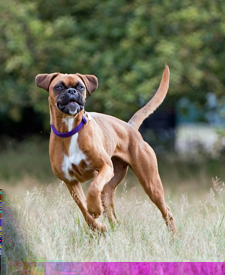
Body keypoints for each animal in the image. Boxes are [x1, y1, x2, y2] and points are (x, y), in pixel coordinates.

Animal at [35, 66, 178, 234]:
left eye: (80, 87)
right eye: (59, 86)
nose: (72, 91)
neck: (69, 130)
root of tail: (129, 126)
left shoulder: (105, 167)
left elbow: (93, 188)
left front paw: (94, 209)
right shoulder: (70, 182)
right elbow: (83, 208)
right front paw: (97, 226)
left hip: (151, 184)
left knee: (166, 210)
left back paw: (174, 236)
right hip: (109, 190)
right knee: (112, 215)